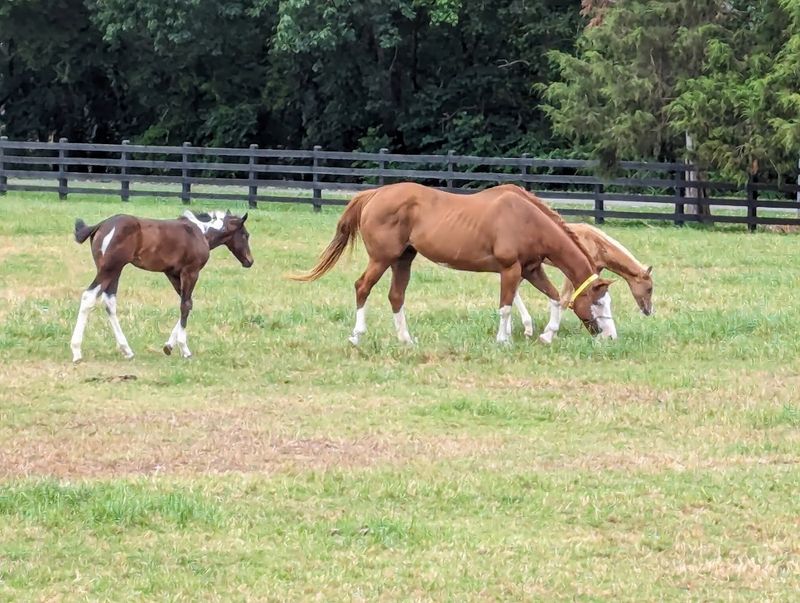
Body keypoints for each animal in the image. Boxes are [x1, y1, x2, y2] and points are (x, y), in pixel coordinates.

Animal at [69, 210, 253, 363]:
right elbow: (186, 305)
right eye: (245, 235)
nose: (249, 261)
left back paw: (127, 350)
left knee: (109, 301)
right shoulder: (190, 272)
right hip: (109, 269)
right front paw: (184, 349)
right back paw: (77, 351)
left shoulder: (172, 274)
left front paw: (169, 346)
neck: (200, 231)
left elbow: (187, 304)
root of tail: (101, 225)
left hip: (114, 270)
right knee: (89, 297)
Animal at [291, 182, 616, 345]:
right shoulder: (510, 269)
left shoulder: (531, 269)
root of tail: (374, 194)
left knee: (396, 296)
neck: (526, 220)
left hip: (402, 260)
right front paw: (503, 340)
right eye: (598, 303)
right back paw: (357, 336)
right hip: (382, 259)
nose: (610, 336)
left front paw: (547, 335)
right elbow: (505, 307)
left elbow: (554, 298)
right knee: (362, 288)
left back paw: (406, 340)